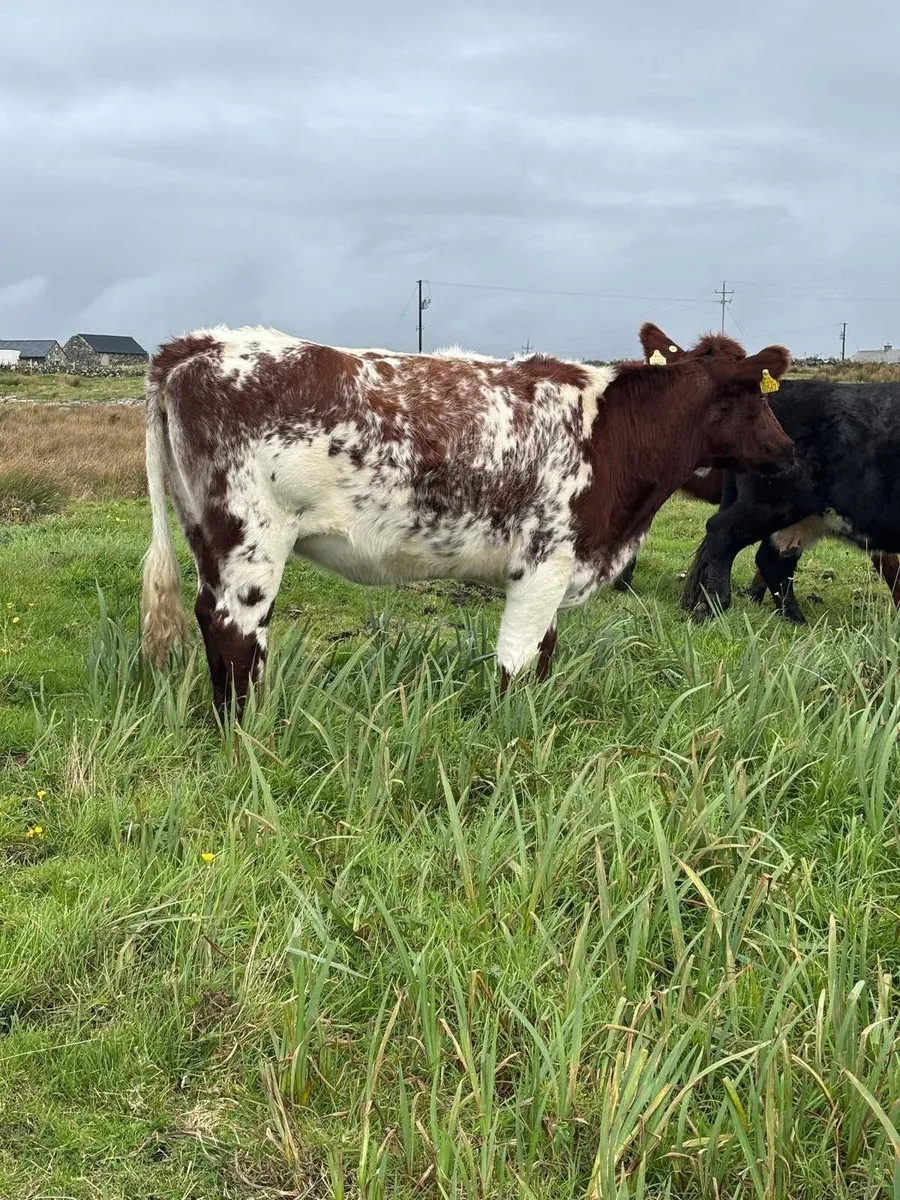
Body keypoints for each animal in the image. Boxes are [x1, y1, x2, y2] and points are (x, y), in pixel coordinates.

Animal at [140, 325, 793, 720]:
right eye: (758, 396)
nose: (788, 451)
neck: (610, 433)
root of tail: (197, 344)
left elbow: (544, 654)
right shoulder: (545, 560)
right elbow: (518, 661)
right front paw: (514, 738)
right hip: (249, 540)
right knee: (234, 631)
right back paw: (248, 734)